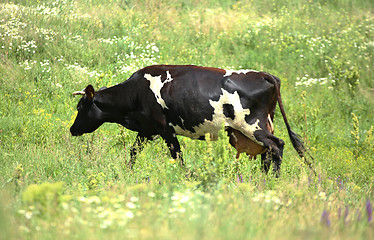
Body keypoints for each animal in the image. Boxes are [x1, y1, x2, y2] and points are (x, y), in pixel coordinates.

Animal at [70, 64, 316, 175]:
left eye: (80, 107)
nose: (72, 129)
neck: (136, 92)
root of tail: (264, 74)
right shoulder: (147, 130)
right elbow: (133, 151)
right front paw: (128, 171)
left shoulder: (165, 130)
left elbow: (177, 155)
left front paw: (186, 176)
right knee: (268, 152)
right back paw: (262, 178)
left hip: (251, 126)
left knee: (277, 145)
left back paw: (272, 178)